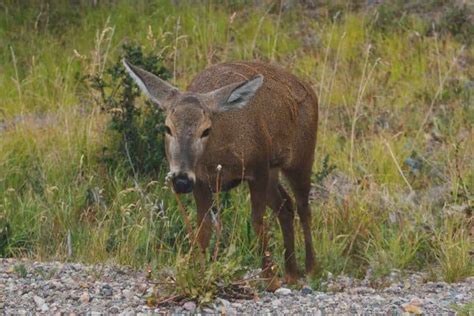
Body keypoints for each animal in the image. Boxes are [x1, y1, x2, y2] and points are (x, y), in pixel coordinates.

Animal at [124, 59, 320, 288]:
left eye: (205, 130)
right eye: (168, 128)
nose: (181, 180)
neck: (218, 157)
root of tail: (309, 89)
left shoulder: (258, 167)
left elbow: (257, 222)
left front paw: (270, 279)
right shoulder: (201, 182)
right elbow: (203, 228)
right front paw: (196, 272)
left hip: (301, 157)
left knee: (304, 207)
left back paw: (311, 270)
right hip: (274, 170)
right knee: (286, 205)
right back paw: (291, 273)